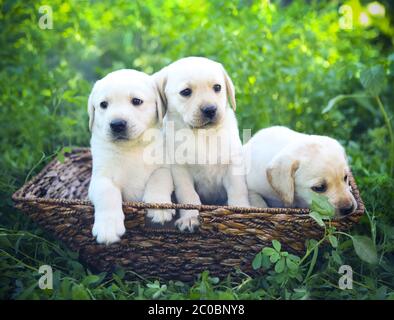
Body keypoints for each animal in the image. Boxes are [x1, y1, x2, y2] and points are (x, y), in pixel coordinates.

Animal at [154, 57, 249, 231]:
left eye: (217, 87)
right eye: (186, 92)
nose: (210, 109)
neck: (203, 135)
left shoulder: (233, 164)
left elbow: (238, 191)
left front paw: (243, 211)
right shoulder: (180, 170)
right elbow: (188, 195)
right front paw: (190, 218)